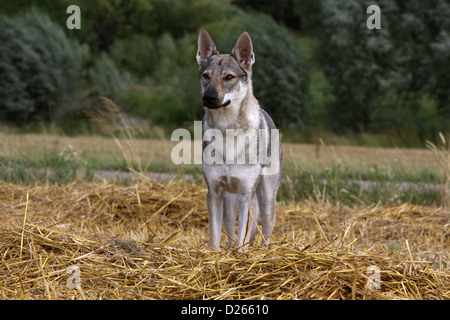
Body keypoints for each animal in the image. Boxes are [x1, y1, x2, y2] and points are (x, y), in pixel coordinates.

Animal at [196, 28, 282, 251]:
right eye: (206, 76)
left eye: (229, 77)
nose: (208, 98)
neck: (228, 130)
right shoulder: (214, 192)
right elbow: (215, 237)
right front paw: (214, 254)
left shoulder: (246, 194)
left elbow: (243, 237)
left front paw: (241, 254)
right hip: (230, 201)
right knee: (230, 230)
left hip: (265, 200)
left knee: (265, 233)